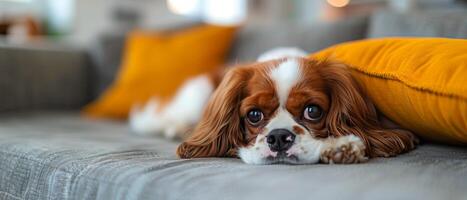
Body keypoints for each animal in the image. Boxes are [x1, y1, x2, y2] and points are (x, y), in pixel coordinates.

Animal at [130, 47, 418, 164]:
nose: (279, 137)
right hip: (196, 94)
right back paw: (175, 127)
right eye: (254, 115)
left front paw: (341, 147)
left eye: (312, 111)